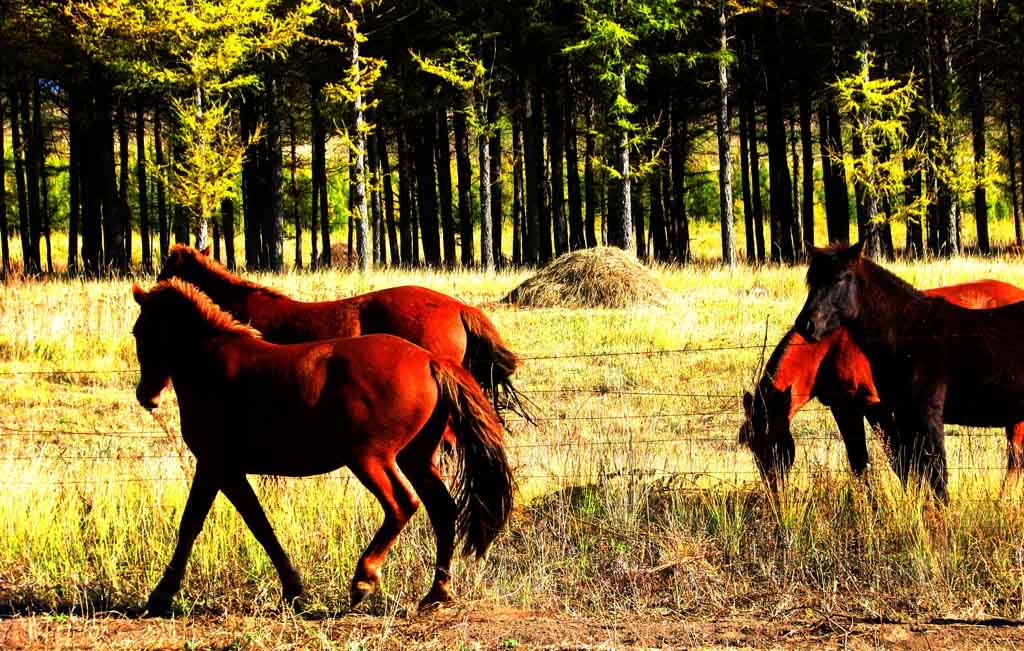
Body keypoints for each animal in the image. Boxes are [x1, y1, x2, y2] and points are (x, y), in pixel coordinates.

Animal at [132, 276, 516, 614]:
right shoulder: (222, 469)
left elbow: (209, 524)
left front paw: (161, 595)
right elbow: (248, 524)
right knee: (443, 510)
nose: (145, 395)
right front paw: (293, 589)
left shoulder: (218, 466)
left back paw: (363, 580)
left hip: (371, 459)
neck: (213, 363)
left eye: (140, 331)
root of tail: (430, 360)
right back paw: (437, 593)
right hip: (416, 458)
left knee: (402, 504)